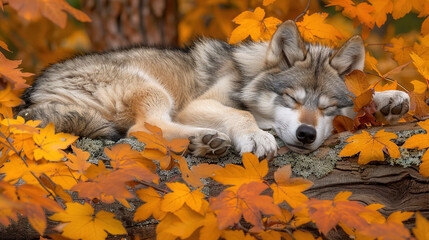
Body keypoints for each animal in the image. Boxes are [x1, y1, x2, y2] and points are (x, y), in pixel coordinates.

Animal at [18, 20, 410, 158]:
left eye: (328, 108)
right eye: (291, 98)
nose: (306, 134)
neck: (247, 75)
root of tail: (34, 94)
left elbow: (363, 99)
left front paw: (389, 99)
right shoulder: (197, 105)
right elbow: (240, 114)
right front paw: (258, 136)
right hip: (153, 89)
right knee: (144, 128)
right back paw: (203, 139)